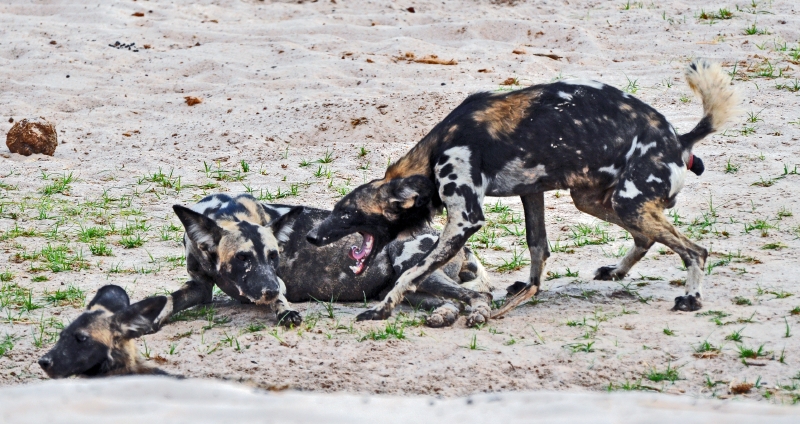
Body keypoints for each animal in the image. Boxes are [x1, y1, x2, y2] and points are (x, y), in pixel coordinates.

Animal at [307, 59, 739, 321]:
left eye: (348, 213)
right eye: (337, 209)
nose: (311, 236)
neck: (433, 155)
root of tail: (680, 139)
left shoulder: (465, 220)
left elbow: (411, 272)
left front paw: (382, 309)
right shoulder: (532, 193)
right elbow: (538, 248)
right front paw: (526, 291)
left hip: (626, 202)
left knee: (695, 250)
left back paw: (691, 298)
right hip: (597, 201)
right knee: (646, 238)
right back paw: (616, 272)